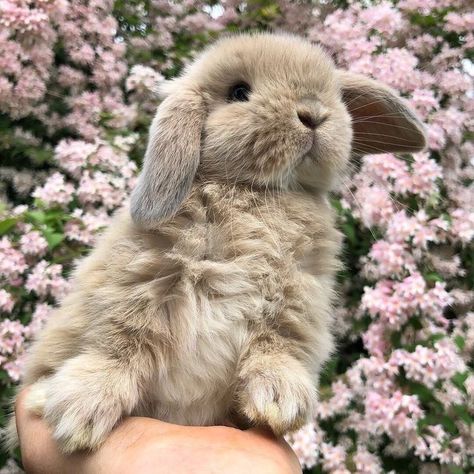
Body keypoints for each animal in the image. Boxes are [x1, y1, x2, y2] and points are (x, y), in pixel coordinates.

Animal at [5, 31, 426, 454]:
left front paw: (282, 398)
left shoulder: (297, 299)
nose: (313, 114)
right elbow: (116, 338)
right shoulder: (139, 280)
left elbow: (279, 346)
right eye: (239, 92)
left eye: (334, 95)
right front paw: (80, 408)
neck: (258, 192)